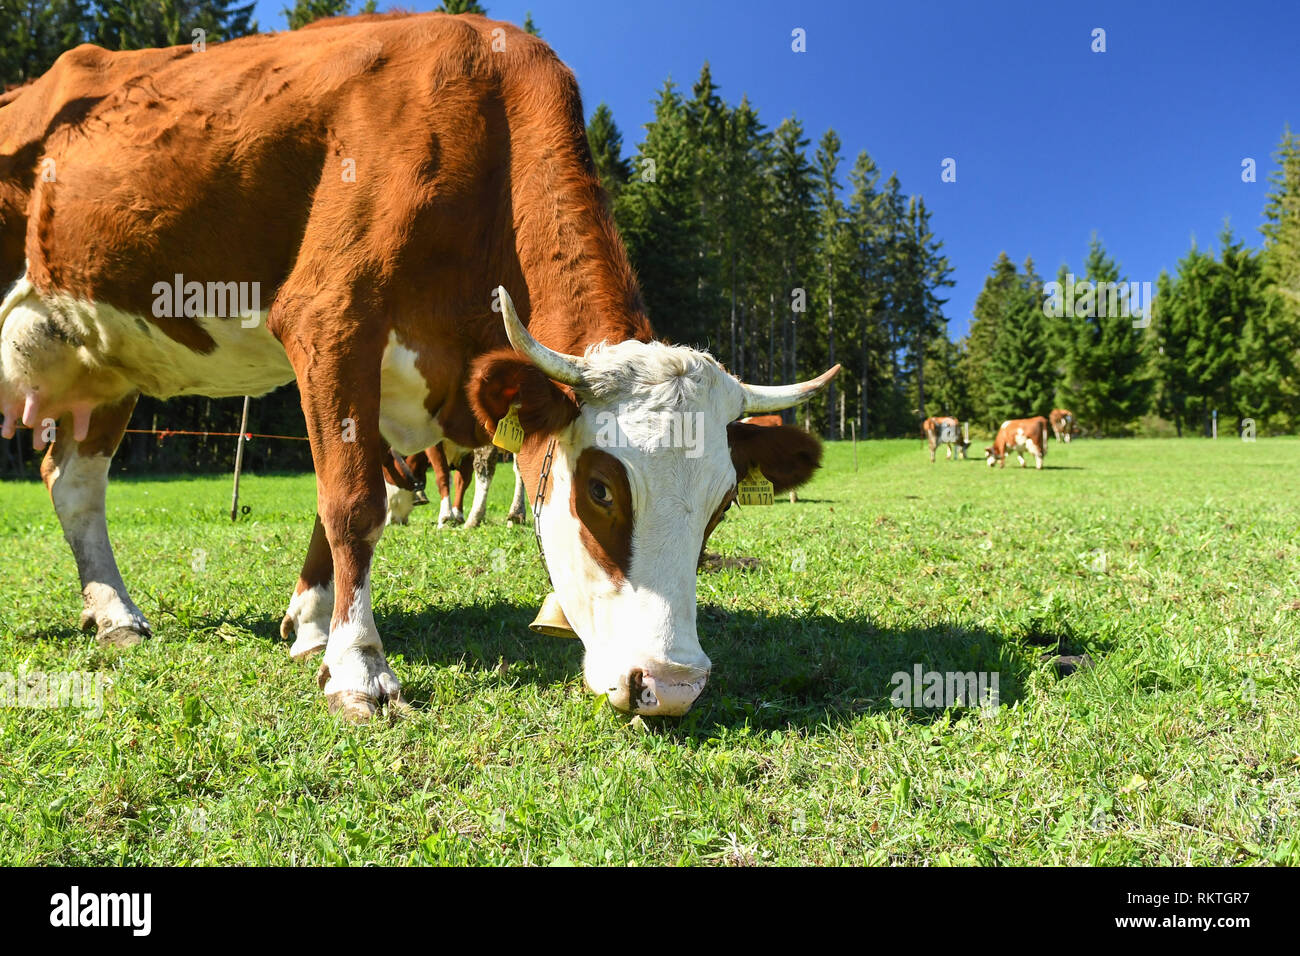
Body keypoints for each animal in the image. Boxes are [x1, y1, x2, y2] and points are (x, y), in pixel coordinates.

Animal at [0, 13, 838, 719]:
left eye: (721, 504)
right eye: (602, 489)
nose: (670, 685)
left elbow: (343, 496)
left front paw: (311, 624)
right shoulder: (329, 315)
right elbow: (353, 502)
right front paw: (358, 667)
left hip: (102, 354)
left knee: (74, 486)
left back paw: (115, 615)